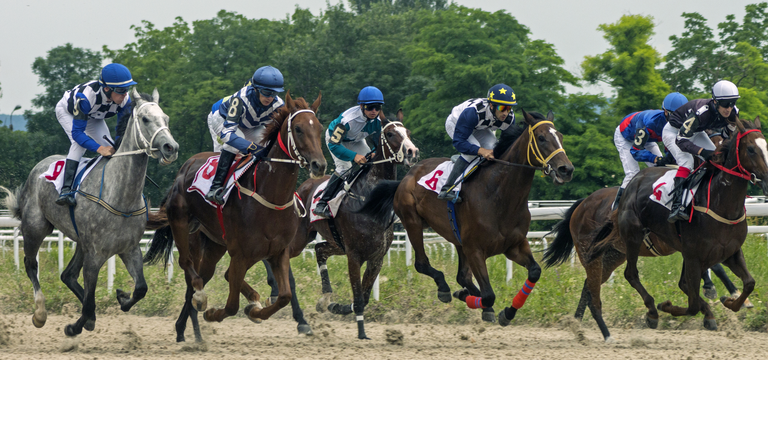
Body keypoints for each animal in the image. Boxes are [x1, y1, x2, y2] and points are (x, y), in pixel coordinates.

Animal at [0, 88, 178, 336]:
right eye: (145, 119)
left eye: (166, 118)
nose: (171, 148)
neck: (121, 196)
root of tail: (38, 167)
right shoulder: (95, 253)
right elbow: (90, 300)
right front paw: (75, 326)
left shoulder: (129, 249)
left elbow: (141, 288)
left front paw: (121, 297)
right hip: (35, 227)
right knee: (31, 265)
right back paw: (40, 313)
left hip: (80, 241)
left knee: (67, 274)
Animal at [144, 93, 324, 342]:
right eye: (298, 129)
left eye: (320, 127)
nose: (319, 164)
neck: (271, 198)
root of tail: (185, 167)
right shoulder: (240, 253)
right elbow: (231, 305)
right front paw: (213, 313)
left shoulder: (278, 252)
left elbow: (284, 295)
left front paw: (256, 310)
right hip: (182, 223)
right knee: (189, 269)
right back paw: (198, 306)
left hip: (215, 244)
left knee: (206, 276)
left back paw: (186, 328)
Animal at [358, 109, 568, 326]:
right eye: (541, 138)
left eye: (560, 137)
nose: (566, 169)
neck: (499, 194)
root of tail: (406, 178)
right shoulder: (475, 250)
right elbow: (488, 294)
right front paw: (470, 298)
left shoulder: (514, 245)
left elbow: (534, 272)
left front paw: (507, 313)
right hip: (413, 222)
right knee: (422, 264)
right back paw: (445, 288)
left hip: (456, 238)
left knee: (462, 277)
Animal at [584, 115, 768, 330]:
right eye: (751, 149)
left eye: (766, 146)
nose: (767, 181)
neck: (720, 203)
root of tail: (634, 181)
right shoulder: (694, 256)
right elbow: (692, 305)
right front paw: (666, 306)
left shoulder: (730, 252)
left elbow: (749, 283)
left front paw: (730, 301)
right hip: (632, 237)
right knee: (631, 274)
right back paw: (652, 311)